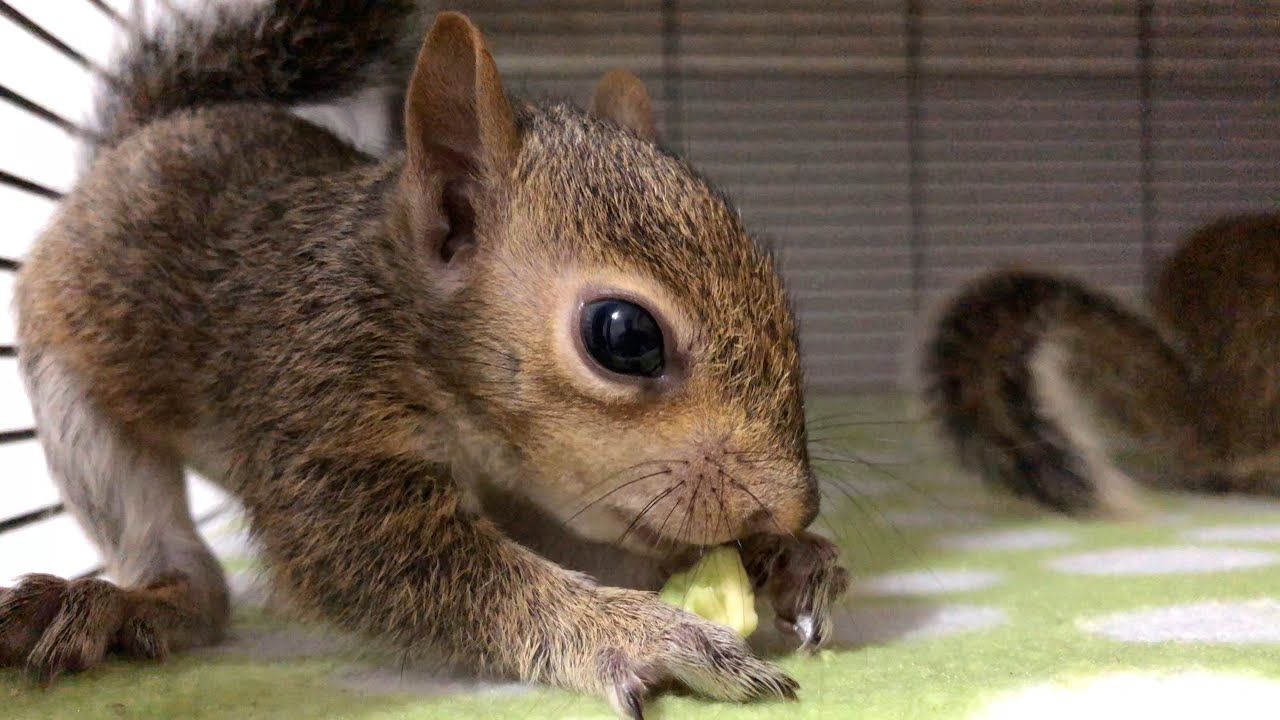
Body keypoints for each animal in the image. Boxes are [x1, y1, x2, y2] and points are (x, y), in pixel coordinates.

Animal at [0, 2, 849, 716]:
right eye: (626, 337)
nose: (793, 505)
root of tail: (146, 132)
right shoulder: (321, 411)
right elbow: (408, 567)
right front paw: (637, 631)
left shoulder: (538, 497)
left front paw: (783, 557)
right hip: (72, 400)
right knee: (176, 564)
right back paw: (129, 604)